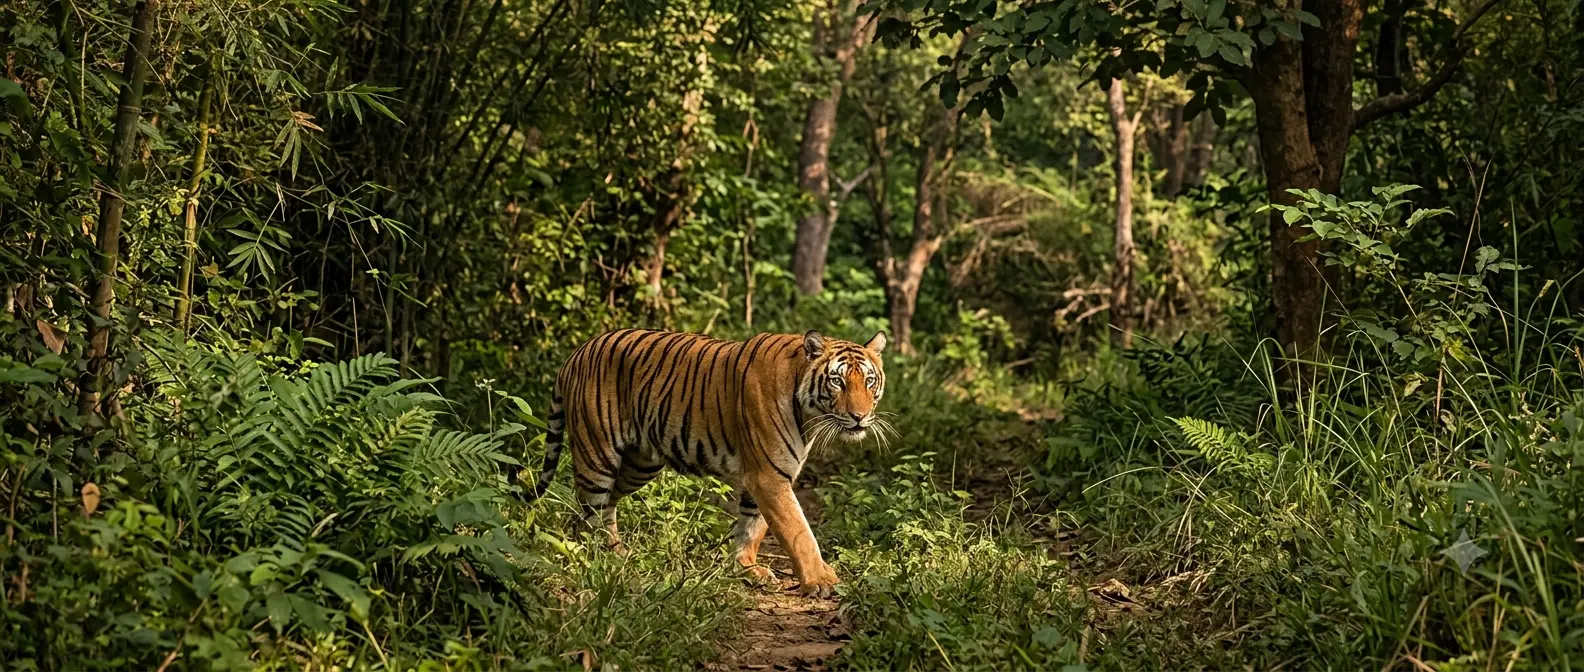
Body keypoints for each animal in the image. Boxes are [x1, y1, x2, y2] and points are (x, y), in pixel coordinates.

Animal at [515, 328, 889, 596]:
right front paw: (820, 581)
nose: (859, 417)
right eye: (837, 380)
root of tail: (576, 352)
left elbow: (751, 527)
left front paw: (746, 569)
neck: (808, 411)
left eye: (869, 380)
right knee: (590, 508)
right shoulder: (769, 475)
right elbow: (797, 530)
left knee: (606, 506)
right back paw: (599, 557)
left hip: (640, 464)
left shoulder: (763, 475)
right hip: (597, 455)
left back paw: (612, 552)